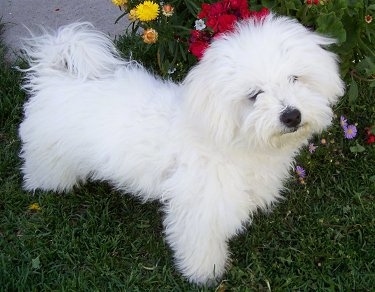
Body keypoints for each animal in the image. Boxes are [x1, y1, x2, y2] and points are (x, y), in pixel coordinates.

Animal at [19, 14, 346, 286]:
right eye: (255, 95)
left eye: (295, 78)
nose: (292, 115)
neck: (229, 140)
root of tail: (54, 76)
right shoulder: (199, 207)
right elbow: (200, 243)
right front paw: (205, 274)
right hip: (50, 151)